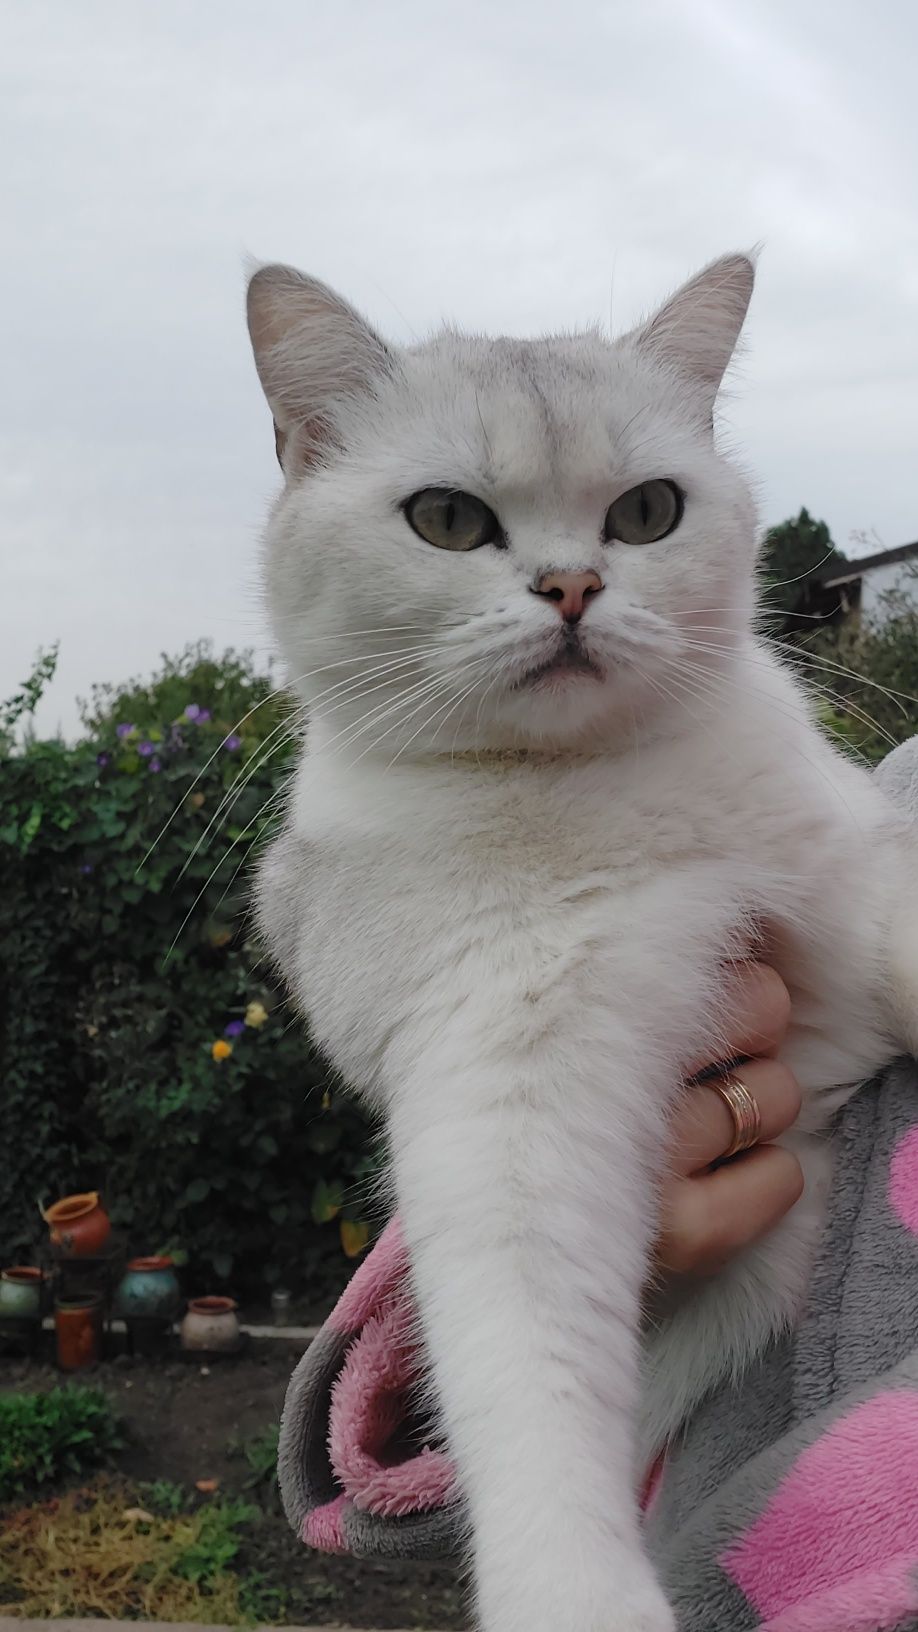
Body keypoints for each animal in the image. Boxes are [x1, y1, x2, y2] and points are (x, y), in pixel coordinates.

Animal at [243, 254, 914, 1632]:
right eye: (448, 521)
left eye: (648, 512)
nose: (572, 589)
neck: (588, 792)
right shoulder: (505, 1102)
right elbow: (526, 1379)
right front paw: (578, 1595)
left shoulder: (861, 880)